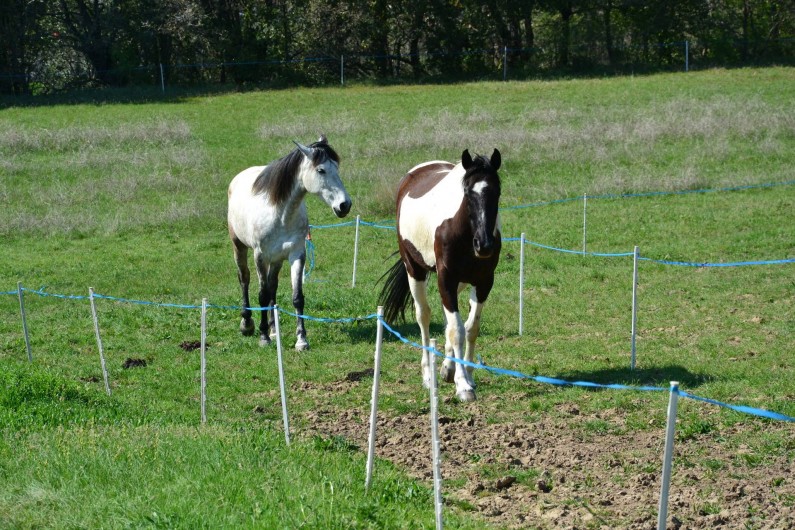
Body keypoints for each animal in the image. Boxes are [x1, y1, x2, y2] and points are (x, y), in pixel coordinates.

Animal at [227, 135, 352, 351]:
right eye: (321, 170)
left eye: (337, 167)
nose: (344, 205)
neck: (280, 215)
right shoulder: (260, 256)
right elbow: (261, 294)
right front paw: (263, 337)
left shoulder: (297, 254)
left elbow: (297, 297)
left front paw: (301, 340)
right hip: (240, 247)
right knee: (244, 279)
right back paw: (248, 324)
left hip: (277, 259)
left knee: (272, 287)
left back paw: (273, 329)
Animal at [379, 149, 502, 402]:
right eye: (468, 192)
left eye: (497, 191)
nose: (484, 244)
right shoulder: (446, 279)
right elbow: (457, 330)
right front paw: (463, 385)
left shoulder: (484, 281)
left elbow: (470, 328)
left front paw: (465, 375)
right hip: (414, 270)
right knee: (424, 317)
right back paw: (428, 376)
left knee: (448, 322)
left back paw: (447, 367)